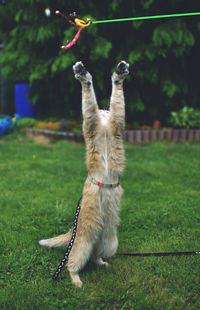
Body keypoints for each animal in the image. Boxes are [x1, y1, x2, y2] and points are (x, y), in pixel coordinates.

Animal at [38, 59, 130, 286]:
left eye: (106, 111)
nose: (104, 112)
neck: (105, 128)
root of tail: (73, 231)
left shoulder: (117, 122)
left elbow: (118, 100)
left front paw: (119, 74)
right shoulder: (91, 123)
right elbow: (89, 100)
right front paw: (83, 74)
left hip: (109, 242)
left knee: (95, 256)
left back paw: (103, 264)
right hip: (83, 244)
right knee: (72, 263)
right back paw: (77, 281)